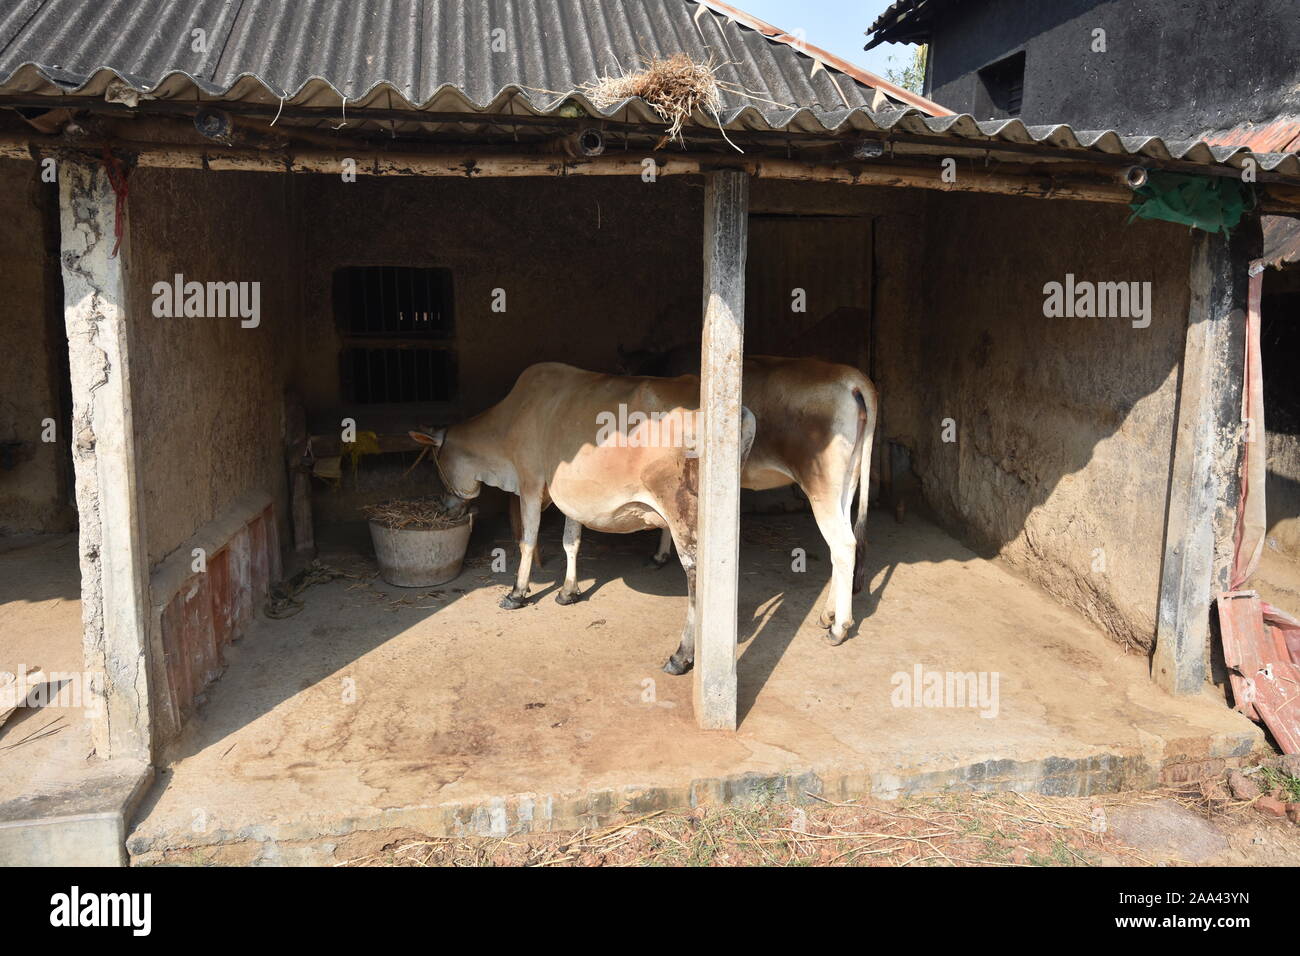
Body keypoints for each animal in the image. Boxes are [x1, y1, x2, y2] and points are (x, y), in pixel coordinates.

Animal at [410, 361, 759, 676]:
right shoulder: (571, 495)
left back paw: (681, 656)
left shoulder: (531, 482)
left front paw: (516, 593)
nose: (444, 506)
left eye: (434, 463)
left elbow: (528, 540)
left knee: (695, 575)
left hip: (682, 508)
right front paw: (568, 592)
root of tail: (738, 410)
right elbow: (570, 541)